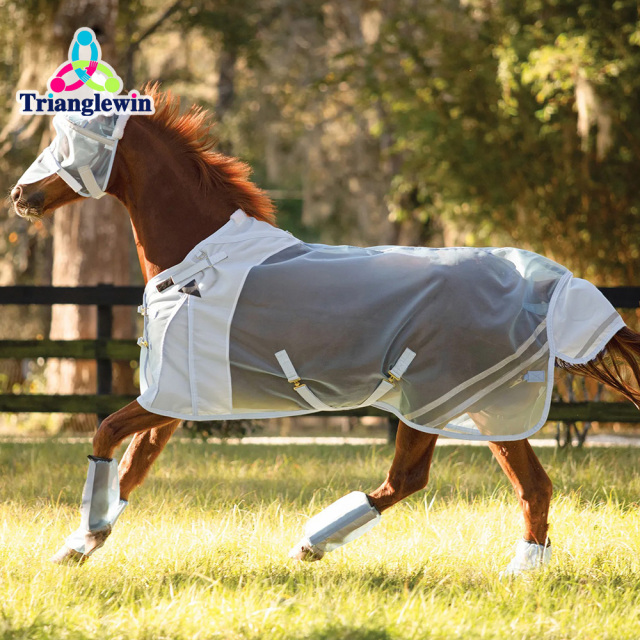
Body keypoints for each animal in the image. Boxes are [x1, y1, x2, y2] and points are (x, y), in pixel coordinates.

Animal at [11, 85, 640, 574]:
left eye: (72, 140)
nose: (20, 195)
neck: (199, 263)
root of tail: (545, 283)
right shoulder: (175, 401)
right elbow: (130, 470)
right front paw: (79, 546)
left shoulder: (166, 398)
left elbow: (104, 437)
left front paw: (78, 543)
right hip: (462, 406)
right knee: (480, 483)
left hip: (462, 404)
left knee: (447, 481)